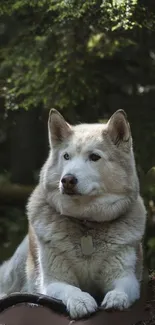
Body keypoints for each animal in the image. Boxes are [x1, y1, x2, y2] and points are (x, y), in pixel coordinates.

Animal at [0, 109, 146, 316]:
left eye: (94, 157)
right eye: (66, 156)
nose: (67, 180)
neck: (85, 222)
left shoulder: (126, 275)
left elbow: (122, 288)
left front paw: (117, 298)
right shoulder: (53, 281)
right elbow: (71, 289)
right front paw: (81, 301)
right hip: (17, 266)